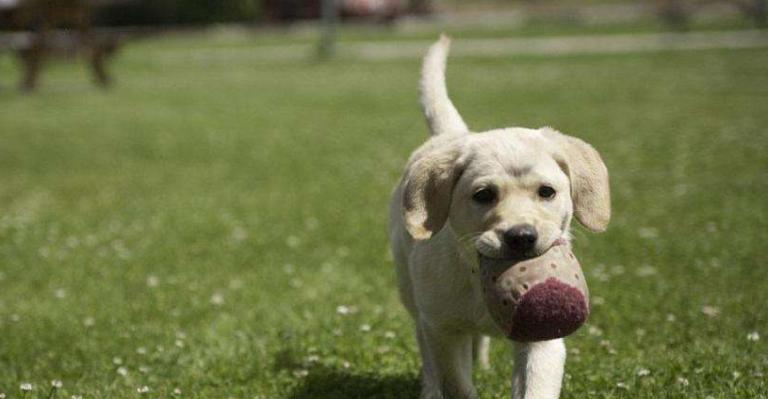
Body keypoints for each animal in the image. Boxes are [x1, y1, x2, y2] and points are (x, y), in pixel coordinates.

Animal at [390, 36, 612, 398]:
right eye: (483, 195)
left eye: (547, 192)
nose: (521, 237)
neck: (477, 272)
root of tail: (452, 134)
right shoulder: (443, 329)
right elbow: (457, 382)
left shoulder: (542, 338)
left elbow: (536, 386)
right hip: (412, 294)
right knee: (427, 349)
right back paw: (430, 387)